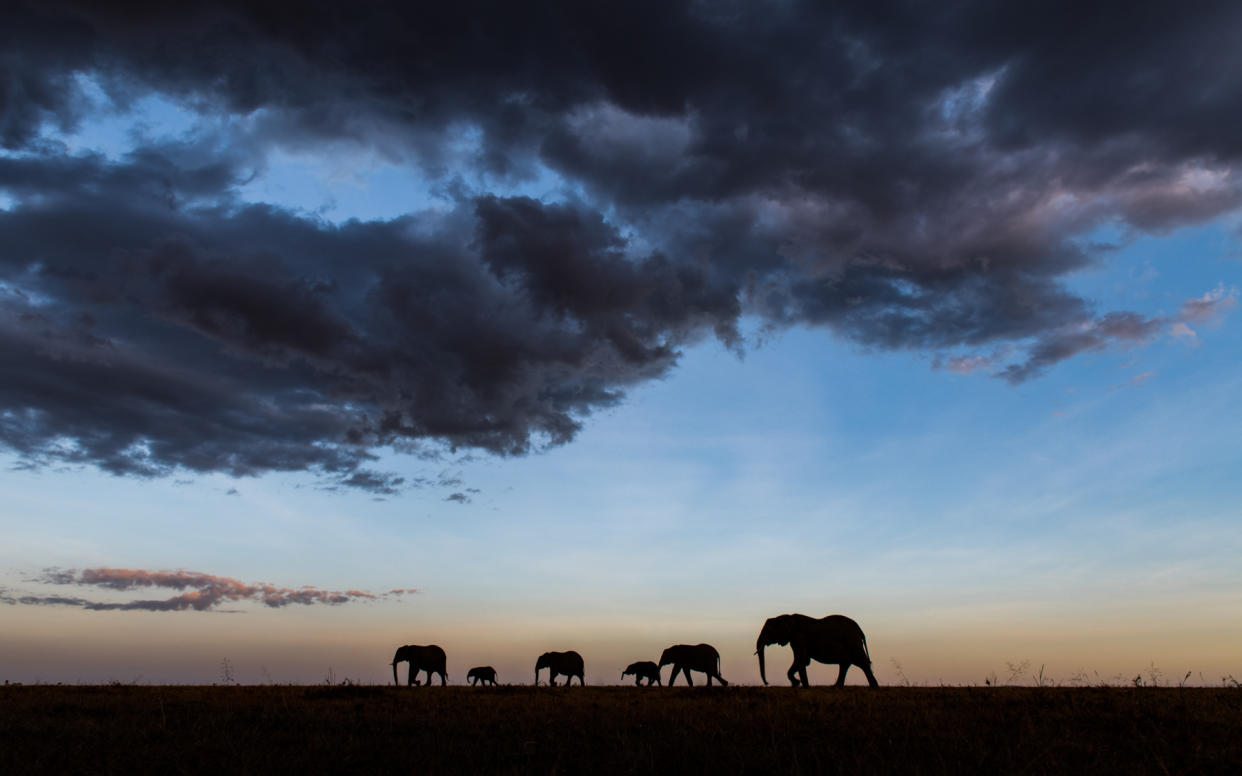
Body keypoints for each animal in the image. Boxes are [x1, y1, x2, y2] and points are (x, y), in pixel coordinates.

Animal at [750, 610, 879, 685]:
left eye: (768, 631)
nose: (767, 683)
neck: (788, 617)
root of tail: (860, 630)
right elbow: (804, 661)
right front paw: (798, 684)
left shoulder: (799, 638)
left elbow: (801, 660)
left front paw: (802, 685)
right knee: (845, 664)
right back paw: (835, 687)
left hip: (852, 642)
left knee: (862, 663)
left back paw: (874, 687)